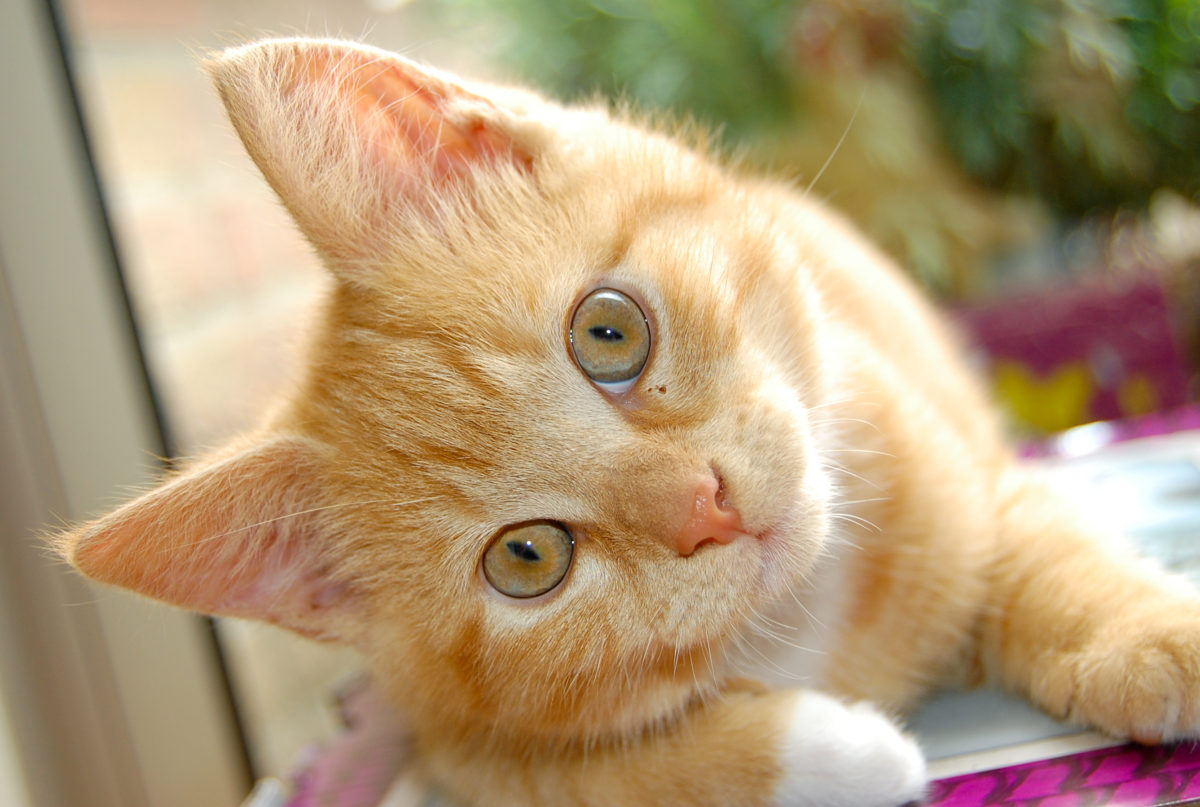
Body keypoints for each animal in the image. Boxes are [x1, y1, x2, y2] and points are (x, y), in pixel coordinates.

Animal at [54, 39, 1200, 806]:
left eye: (609, 332)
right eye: (527, 558)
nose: (708, 505)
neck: (806, 613)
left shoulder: (954, 462)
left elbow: (1040, 547)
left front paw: (1150, 637)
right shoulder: (466, 748)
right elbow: (598, 776)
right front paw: (843, 751)